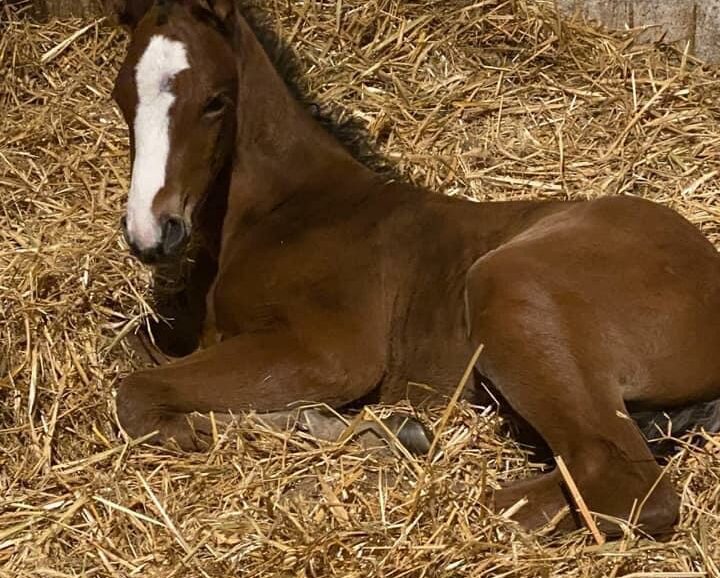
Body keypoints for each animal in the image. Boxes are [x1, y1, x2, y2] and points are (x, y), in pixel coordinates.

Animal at [105, 0, 720, 536]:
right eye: (121, 97)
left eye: (215, 101)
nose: (151, 232)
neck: (287, 209)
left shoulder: (330, 353)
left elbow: (136, 390)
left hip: (509, 285)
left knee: (622, 483)